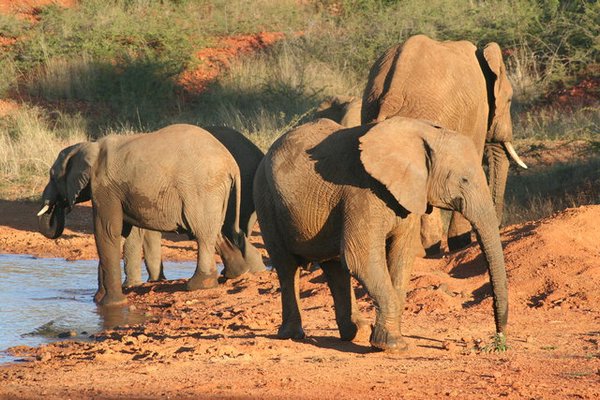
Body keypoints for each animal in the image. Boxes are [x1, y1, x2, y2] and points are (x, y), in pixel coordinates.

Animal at [251, 117, 508, 352]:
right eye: (463, 180)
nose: (498, 340)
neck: (422, 133)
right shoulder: (363, 192)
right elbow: (360, 259)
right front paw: (393, 345)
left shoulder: (408, 196)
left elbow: (401, 257)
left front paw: (384, 338)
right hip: (266, 199)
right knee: (287, 267)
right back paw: (293, 335)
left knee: (334, 268)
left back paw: (355, 332)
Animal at [360, 35, 524, 253]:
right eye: (510, 100)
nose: (499, 225)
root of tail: (390, 99)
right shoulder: (478, 113)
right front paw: (461, 244)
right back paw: (429, 249)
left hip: (370, 108)